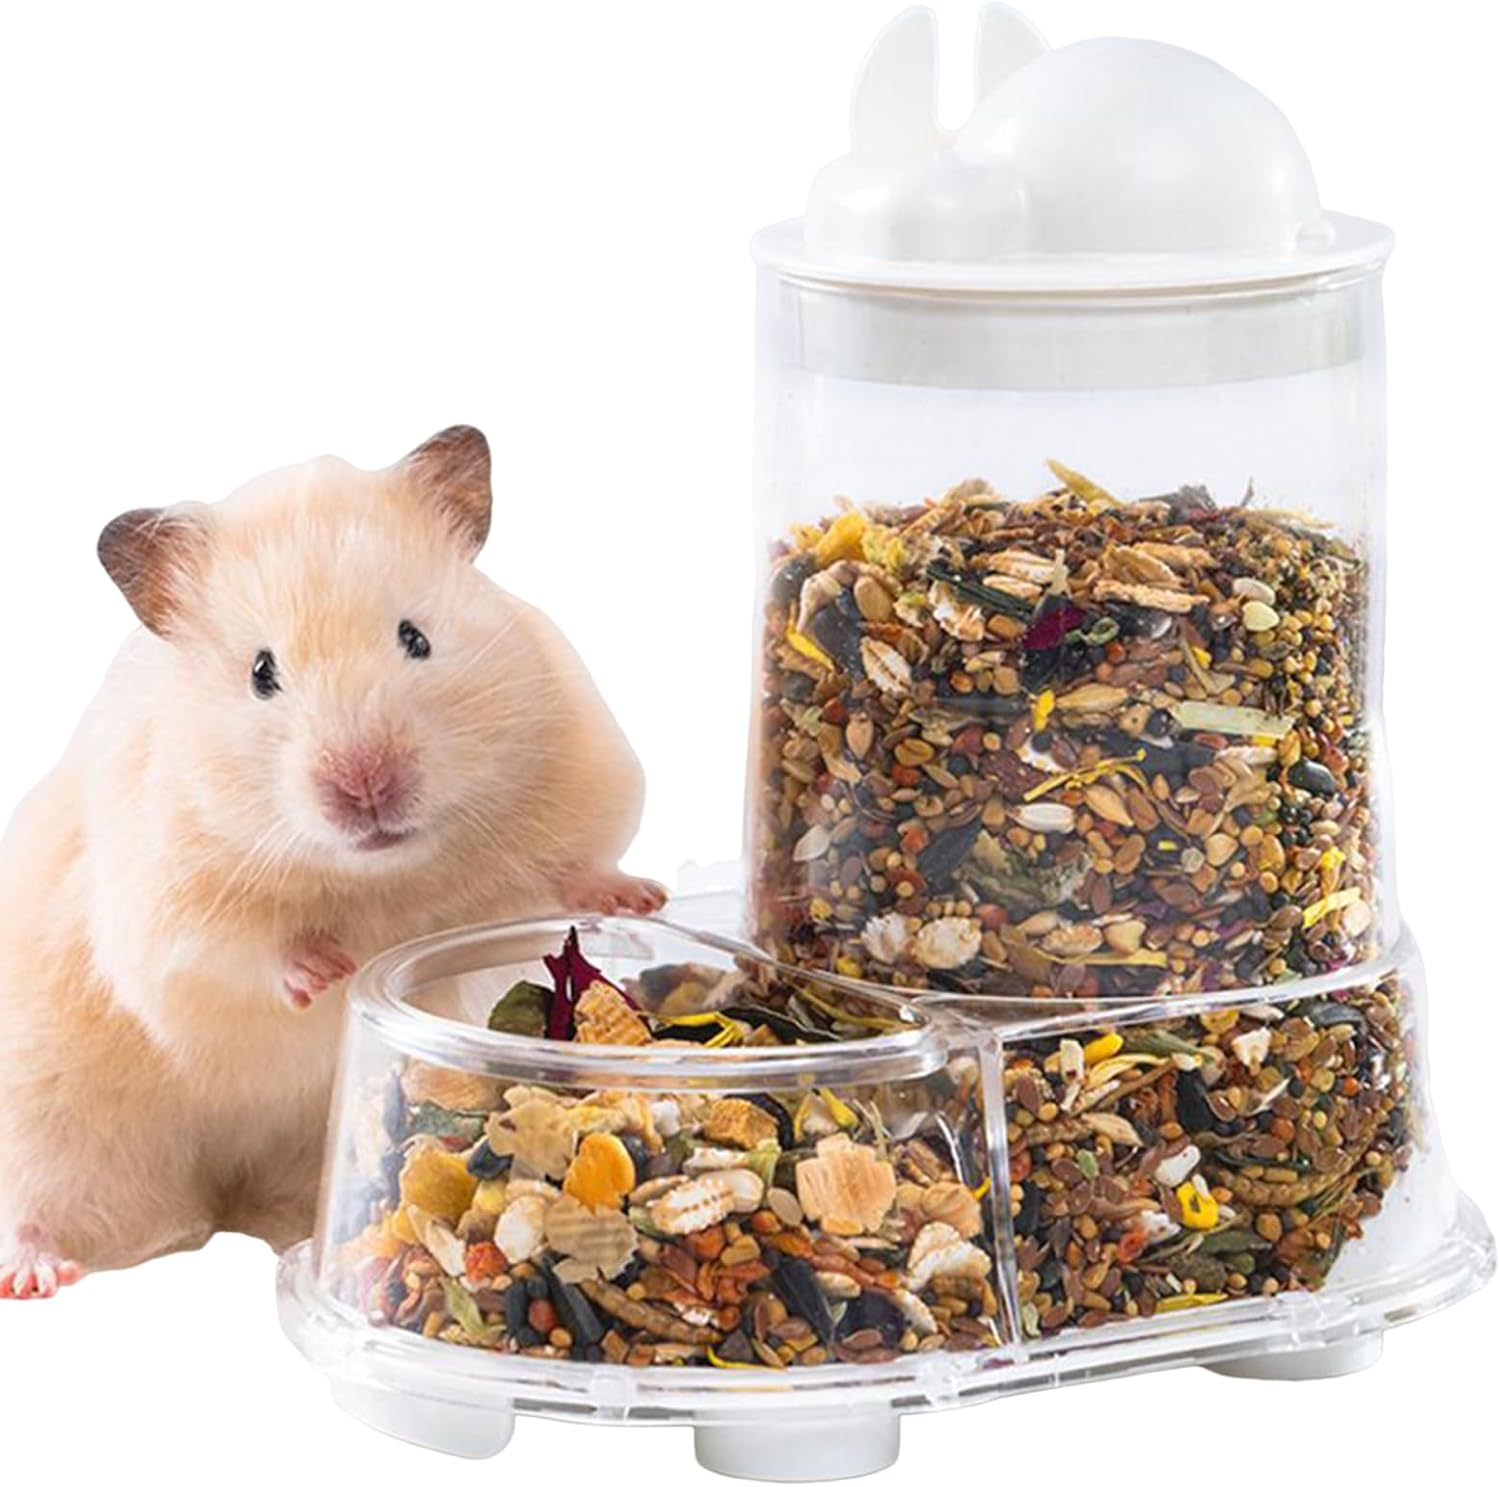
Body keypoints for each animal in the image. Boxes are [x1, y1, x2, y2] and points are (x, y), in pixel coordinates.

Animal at [0, 426, 664, 1298]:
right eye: (261, 672)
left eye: (416, 637)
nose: (367, 782)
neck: (377, 875)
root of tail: (222, 1197)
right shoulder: (162, 908)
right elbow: (238, 952)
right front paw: (329, 968)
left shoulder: (580, 772)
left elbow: (577, 866)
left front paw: (642, 901)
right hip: (50, 1125)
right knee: (35, 1199)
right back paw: (33, 1274)